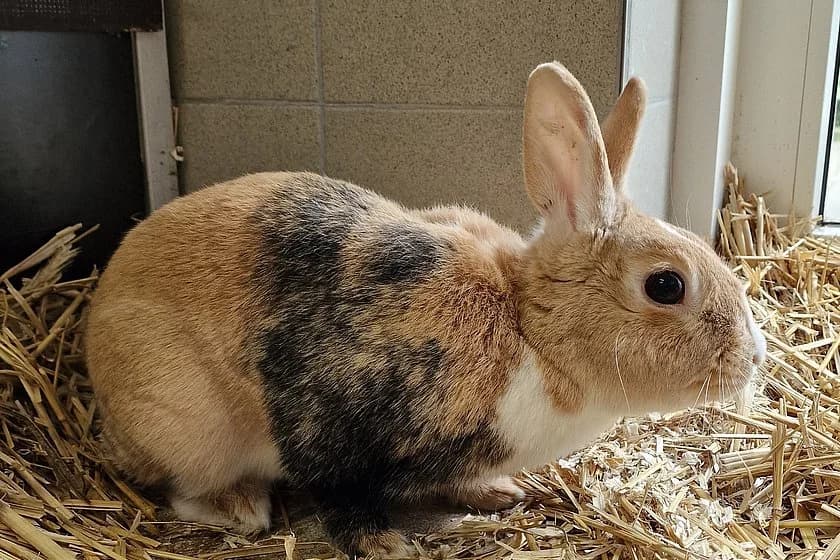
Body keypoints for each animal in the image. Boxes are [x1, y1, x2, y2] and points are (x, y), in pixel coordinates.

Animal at [84, 62, 766, 559]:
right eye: (666, 286)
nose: (754, 358)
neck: (529, 331)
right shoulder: (339, 423)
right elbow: (342, 497)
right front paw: (388, 546)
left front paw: (499, 492)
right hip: (189, 425)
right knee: (181, 489)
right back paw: (242, 507)